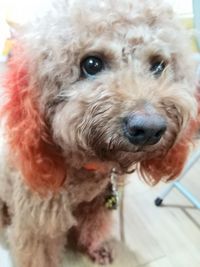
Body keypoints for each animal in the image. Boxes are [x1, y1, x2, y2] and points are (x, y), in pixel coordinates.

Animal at [0, 0, 198, 266]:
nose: (148, 129)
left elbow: (94, 226)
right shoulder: (37, 222)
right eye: (91, 64)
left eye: (158, 66)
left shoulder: (98, 203)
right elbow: (38, 253)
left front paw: (96, 249)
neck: (86, 166)